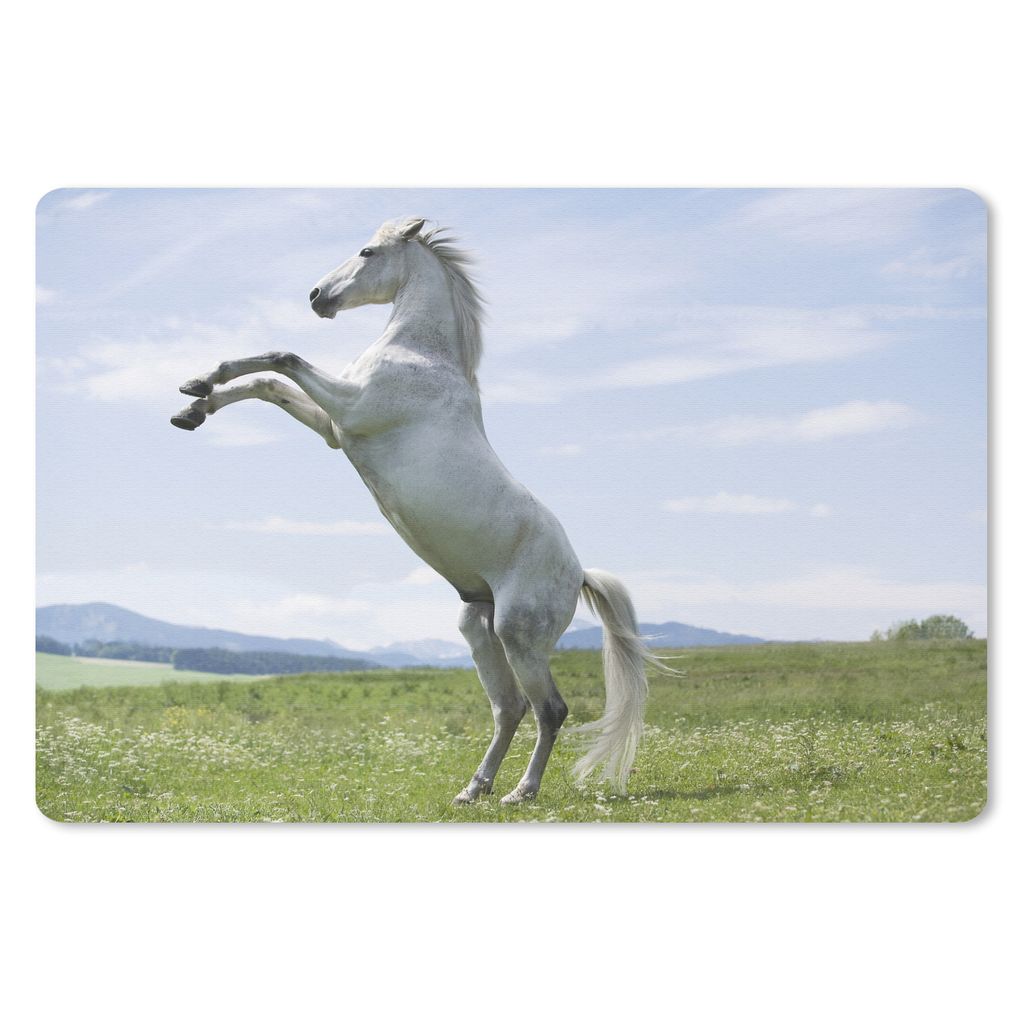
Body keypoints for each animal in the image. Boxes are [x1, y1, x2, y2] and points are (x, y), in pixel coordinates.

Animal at [171, 216, 661, 804]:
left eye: (367, 251)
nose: (316, 297)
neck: (420, 354)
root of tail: (580, 573)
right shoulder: (334, 428)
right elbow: (267, 383)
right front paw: (193, 402)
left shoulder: (350, 406)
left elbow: (281, 360)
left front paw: (199, 388)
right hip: (479, 628)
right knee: (509, 707)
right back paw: (474, 789)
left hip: (519, 636)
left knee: (550, 709)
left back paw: (522, 791)